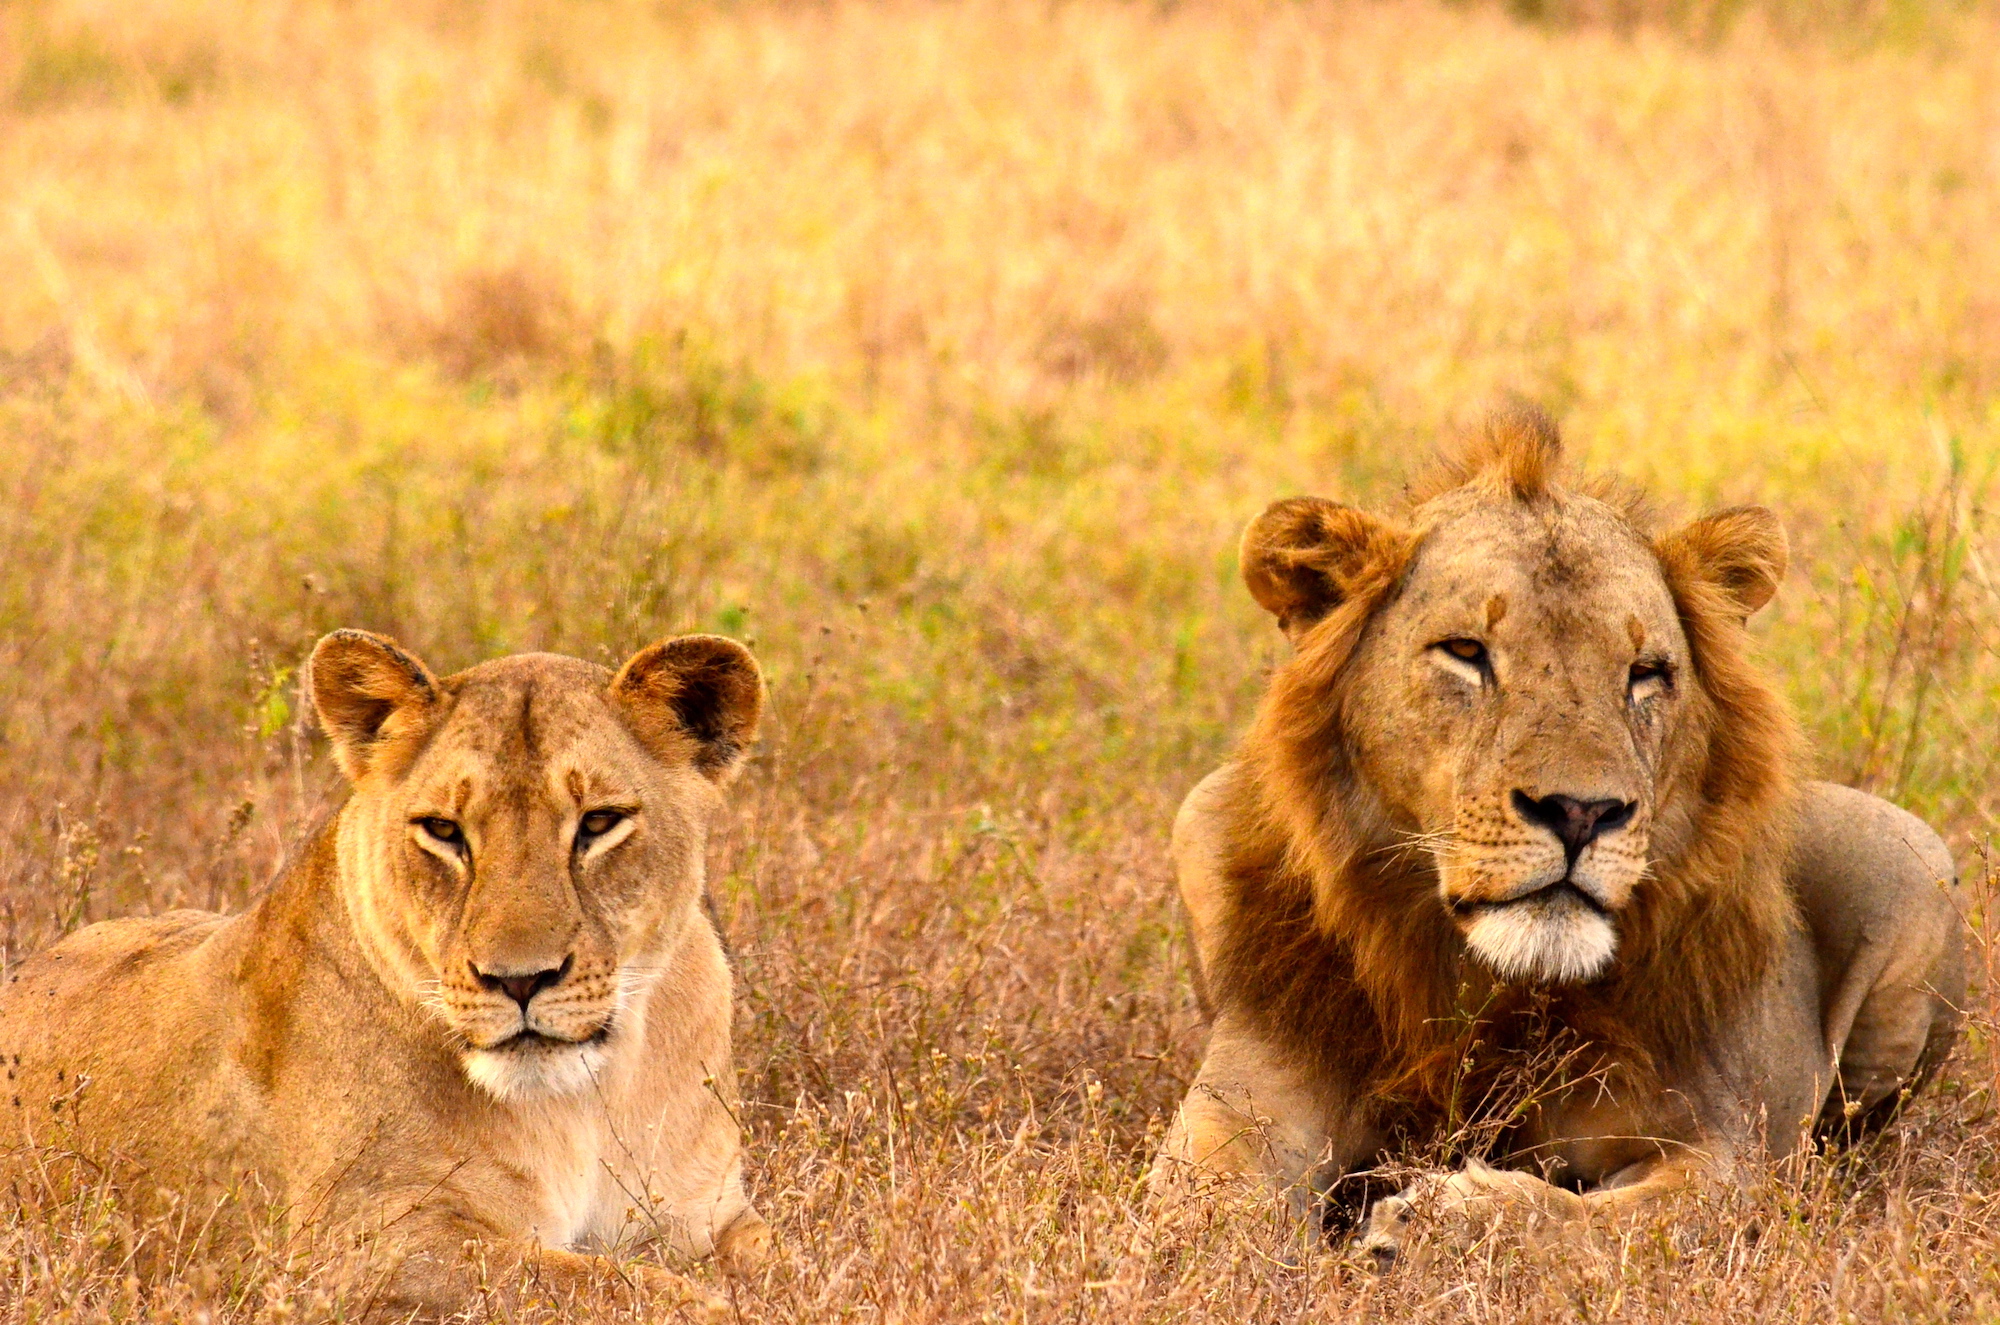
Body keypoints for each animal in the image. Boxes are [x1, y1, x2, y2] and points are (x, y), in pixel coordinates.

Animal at [0, 632, 772, 1320]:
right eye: (444, 830)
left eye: (600, 822)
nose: (519, 981)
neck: (584, 1103)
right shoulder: (356, 1252)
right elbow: (611, 1287)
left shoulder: (710, 1211)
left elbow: (774, 1259)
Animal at [1160, 412, 1968, 1264]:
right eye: (1466, 652)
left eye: (1646, 671)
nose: (1582, 811)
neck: (1484, 983)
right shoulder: (1248, 1095)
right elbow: (1205, 1211)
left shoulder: (1728, 1153)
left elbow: (1600, 1219)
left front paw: (1427, 1225)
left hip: (1916, 862)